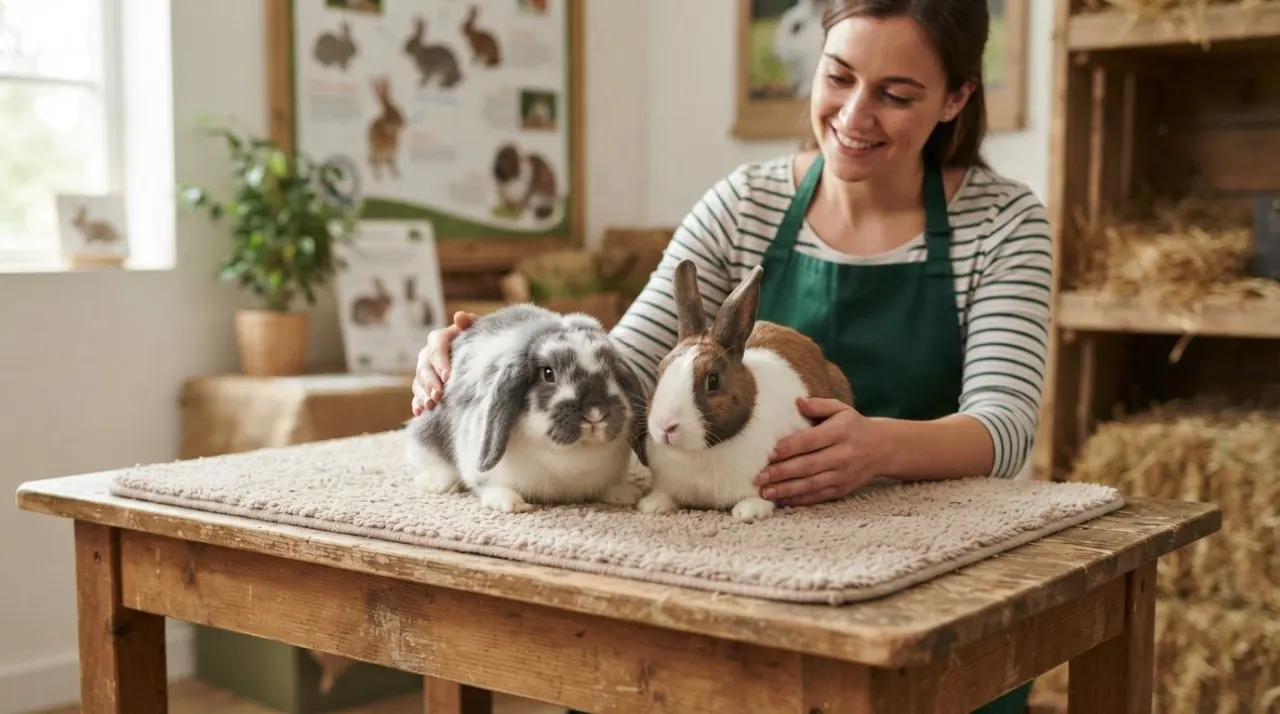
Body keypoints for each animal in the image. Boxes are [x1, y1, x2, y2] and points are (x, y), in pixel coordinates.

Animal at [405, 303, 650, 514]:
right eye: (548, 374)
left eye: (612, 373)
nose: (595, 413)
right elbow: (488, 483)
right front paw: (510, 503)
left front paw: (624, 494)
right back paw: (437, 483)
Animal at [636, 259, 854, 521]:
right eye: (660, 371)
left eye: (713, 381)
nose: (666, 427)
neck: (702, 452)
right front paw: (652, 505)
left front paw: (749, 510)